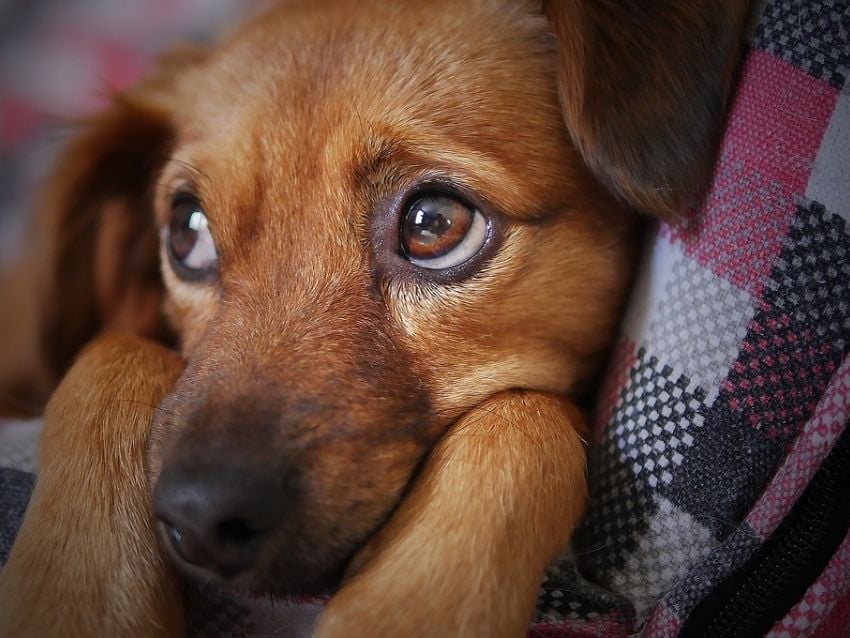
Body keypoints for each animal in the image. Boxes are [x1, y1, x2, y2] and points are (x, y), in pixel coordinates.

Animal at [0, 2, 744, 636]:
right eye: (187, 231)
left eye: (434, 223)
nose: (200, 517)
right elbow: (112, 352)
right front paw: (76, 598)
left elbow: (523, 416)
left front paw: (407, 606)